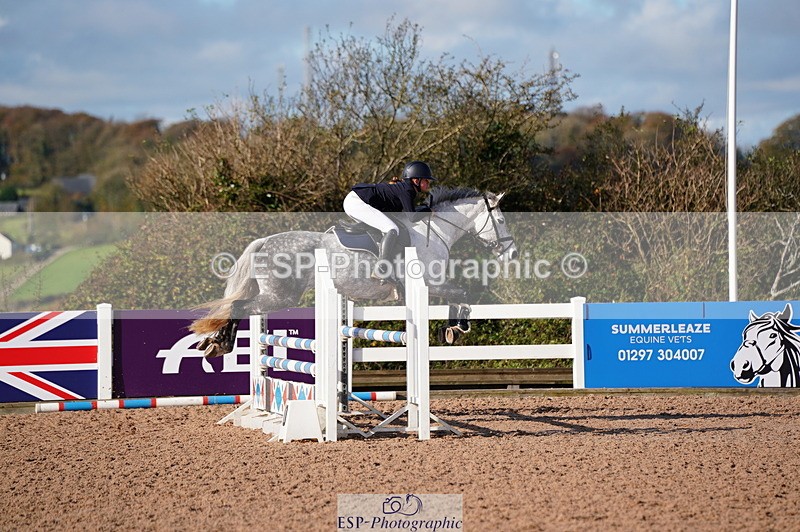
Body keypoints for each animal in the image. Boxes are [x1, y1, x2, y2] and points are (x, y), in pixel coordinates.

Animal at [191, 187, 518, 358]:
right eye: (501, 220)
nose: (512, 253)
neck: (435, 231)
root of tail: (265, 242)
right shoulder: (432, 282)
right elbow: (464, 293)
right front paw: (458, 328)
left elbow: (458, 296)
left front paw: (450, 330)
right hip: (279, 296)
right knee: (238, 306)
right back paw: (222, 344)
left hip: (271, 294)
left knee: (237, 307)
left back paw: (213, 342)